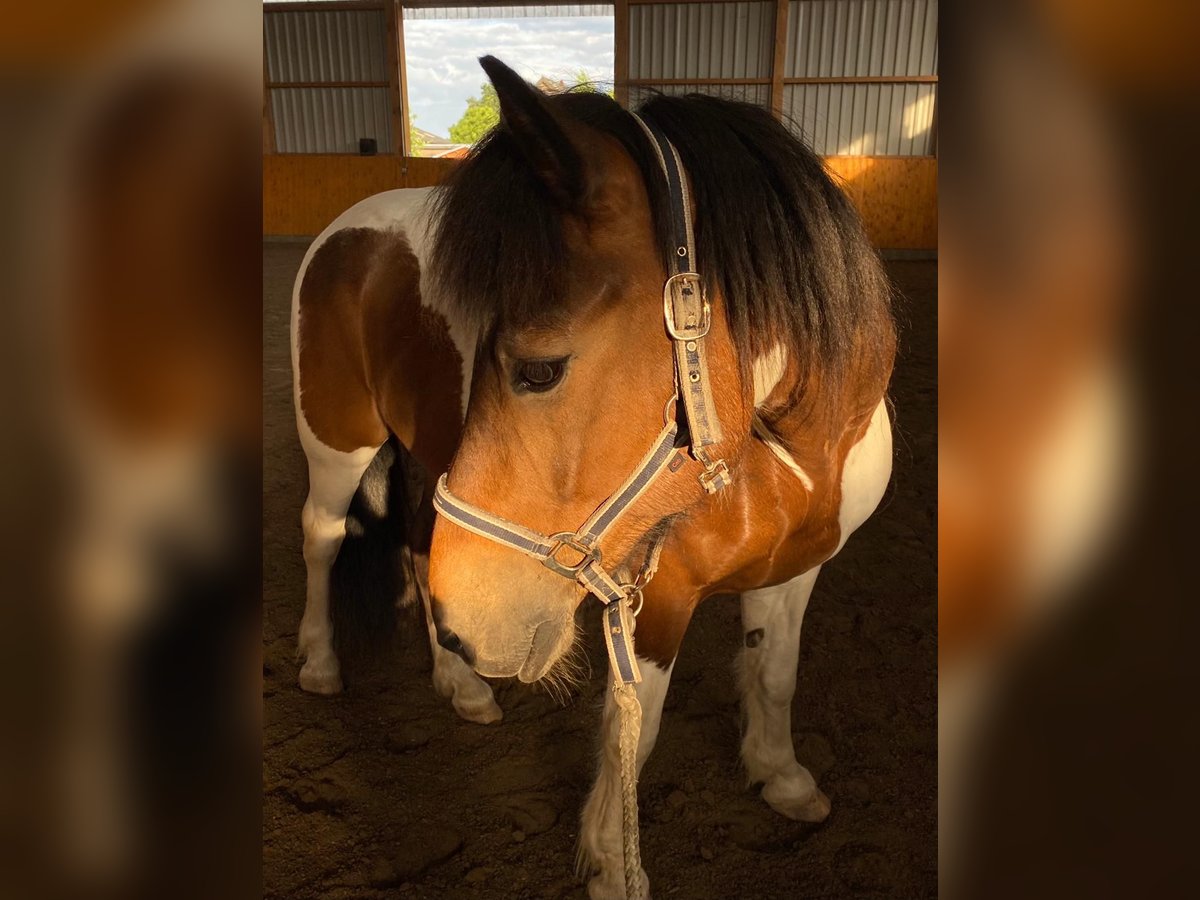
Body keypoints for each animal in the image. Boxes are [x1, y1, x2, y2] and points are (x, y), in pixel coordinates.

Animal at [288, 58, 892, 900]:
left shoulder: (799, 567)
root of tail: (351, 227)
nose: (476, 624)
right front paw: (613, 865)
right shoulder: (655, 597)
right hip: (336, 440)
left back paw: (461, 685)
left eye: (539, 369)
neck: (790, 448)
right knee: (320, 536)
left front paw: (782, 776)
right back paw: (320, 662)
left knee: (417, 543)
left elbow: (775, 672)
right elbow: (630, 733)